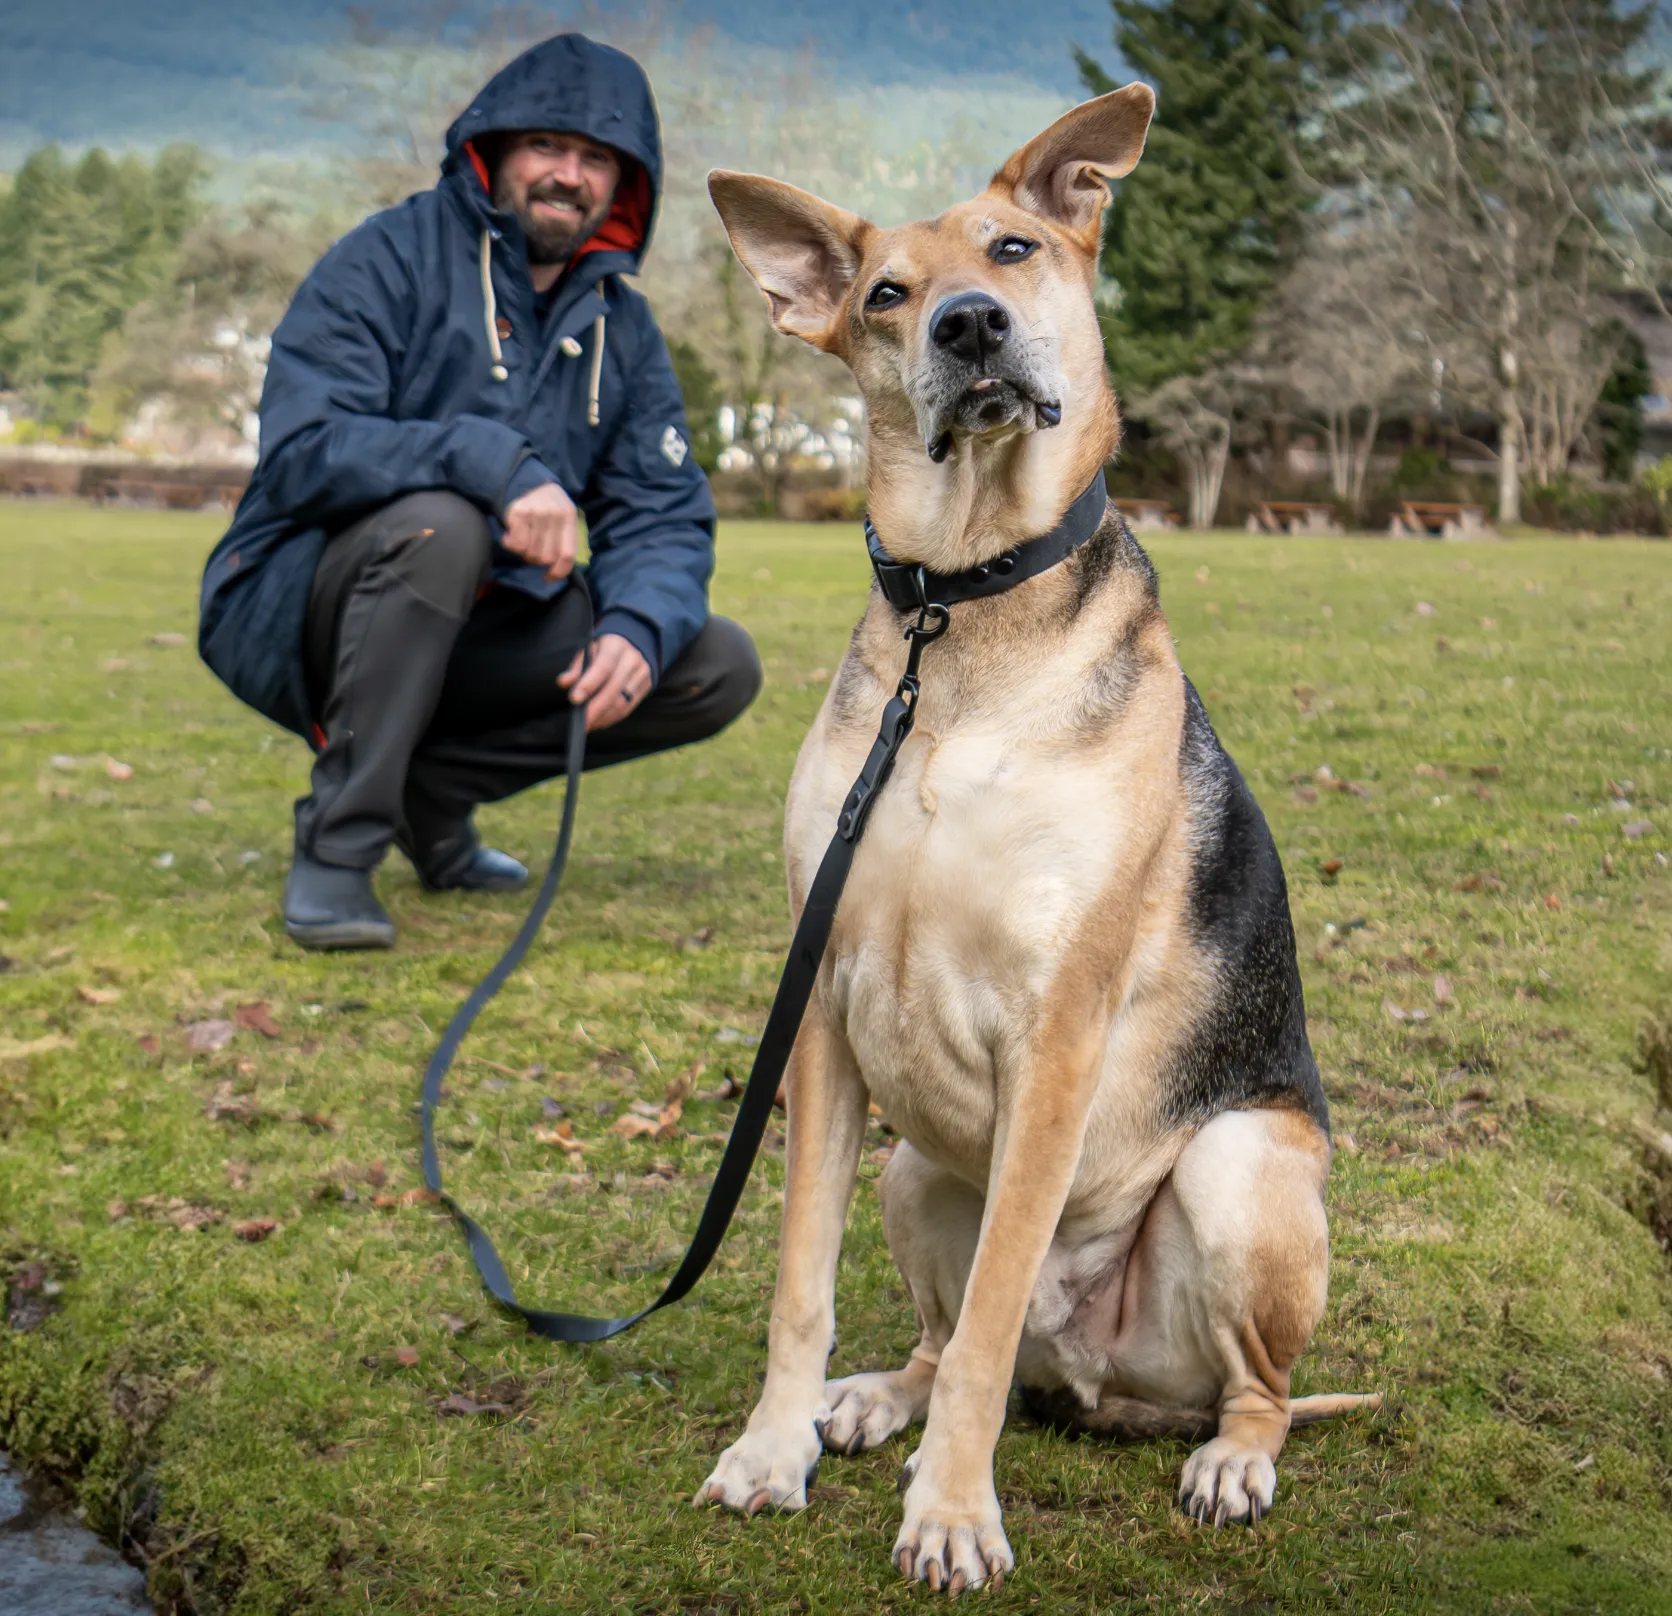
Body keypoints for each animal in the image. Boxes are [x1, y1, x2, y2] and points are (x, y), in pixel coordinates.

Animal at [698, 88, 1377, 1590]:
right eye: (885, 296)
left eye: (1012, 248)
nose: (967, 327)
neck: (959, 613)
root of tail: (1095, 1380)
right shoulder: (822, 1014)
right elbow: (800, 1283)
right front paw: (772, 1451)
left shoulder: (1054, 1036)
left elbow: (998, 1306)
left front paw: (952, 1511)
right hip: (913, 1162)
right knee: (950, 1338)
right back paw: (872, 1397)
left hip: (1238, 1172)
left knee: (1229, 1382)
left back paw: (1230, 1458)